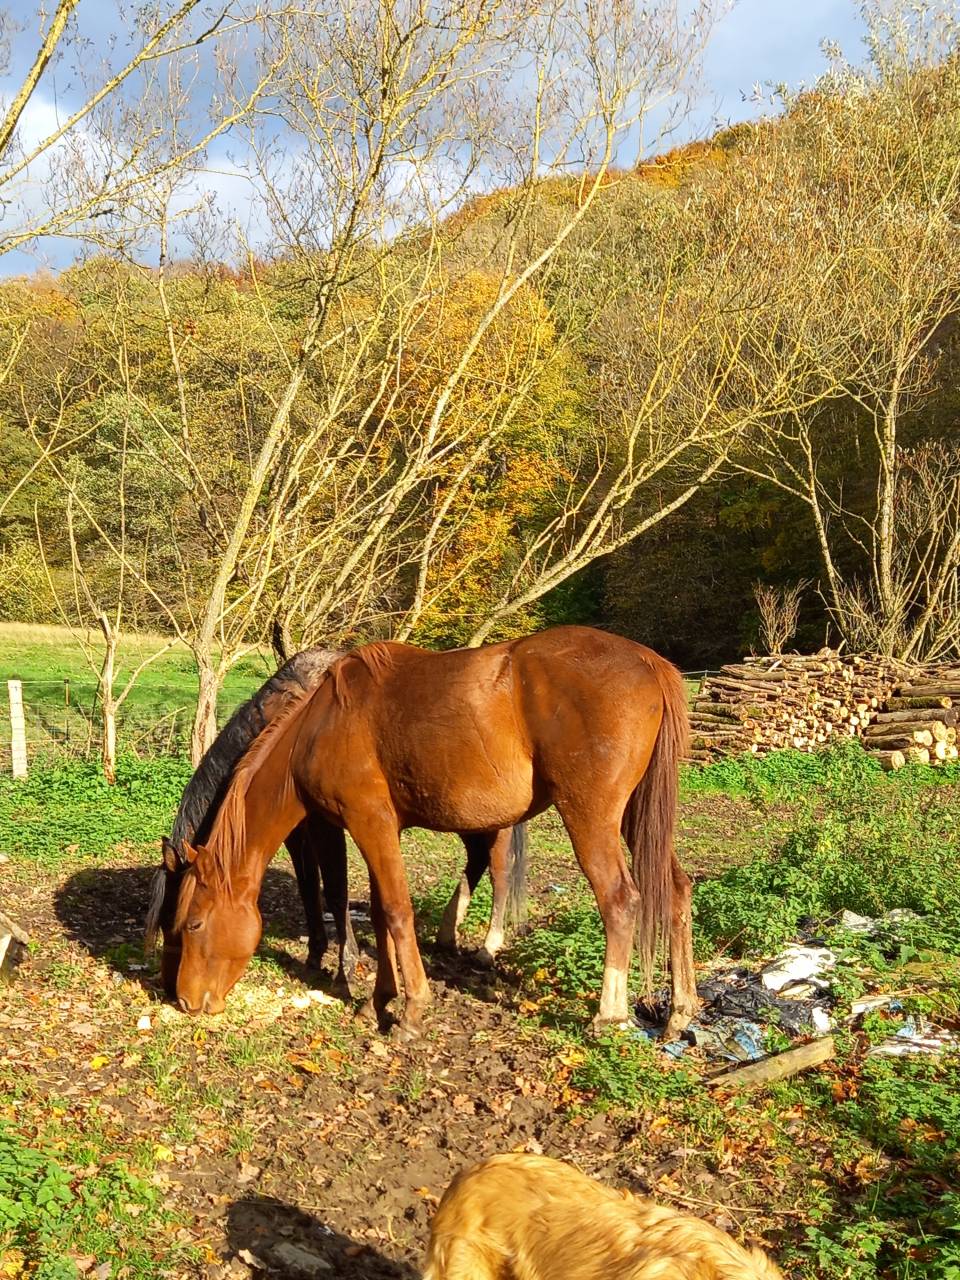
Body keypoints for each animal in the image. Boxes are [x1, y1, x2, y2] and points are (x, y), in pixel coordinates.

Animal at [145, 648, 527, 996]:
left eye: (179, 921)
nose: (170, 988)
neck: (289, 717)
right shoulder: (296, 830)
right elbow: (308, 886)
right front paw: (316, 953)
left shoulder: (325, 823)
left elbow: (335, 889)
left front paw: (345, 968)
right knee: (476, 860)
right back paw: (448, 933)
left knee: (500, 870)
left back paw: (487, 947)